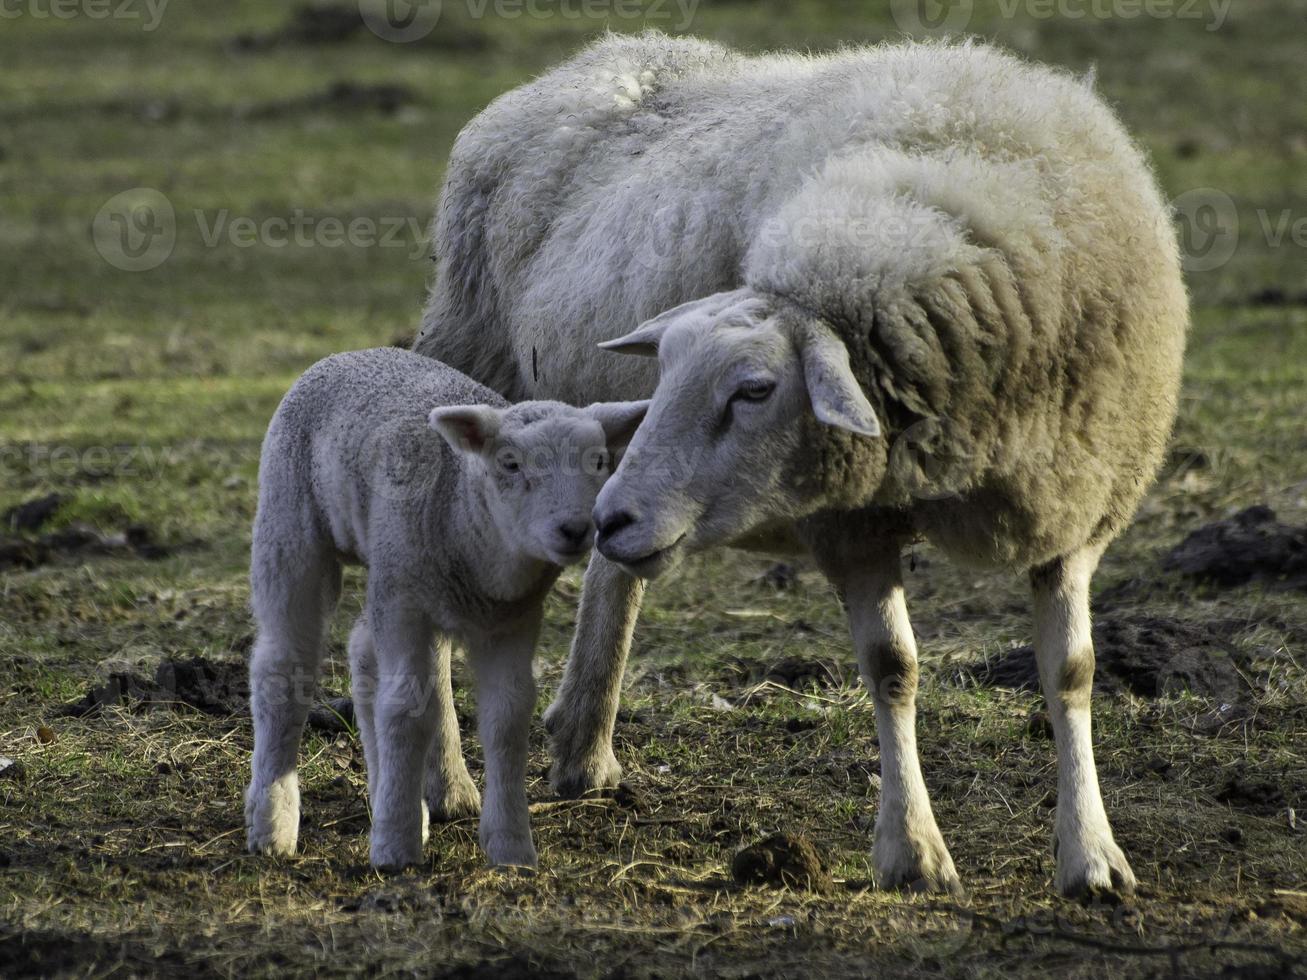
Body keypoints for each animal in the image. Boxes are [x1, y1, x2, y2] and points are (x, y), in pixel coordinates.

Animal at [243, 347, 645, 867]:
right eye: (509, 464)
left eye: (598, 461)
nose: (575, 529)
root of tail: (347, 355)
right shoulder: (408, 606)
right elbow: (406, 710)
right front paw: (396, 848)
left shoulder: (512, 619)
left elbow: (508, 717)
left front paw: (511, 847)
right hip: (293, 527)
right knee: (283, 664)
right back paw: (273, 824)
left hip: (387, 567)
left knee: (363, 653)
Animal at [413, 34, 1191, 904]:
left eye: (755, 390)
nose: (609, 516)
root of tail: (598, 55)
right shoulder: (850, 521)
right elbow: (893, 668)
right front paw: (911, 851)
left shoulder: (1074, 506)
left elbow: (1072, 672)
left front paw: (1091, 855)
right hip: (480, 365)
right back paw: (448, 785)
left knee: (619, 575)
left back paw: (584, 748)